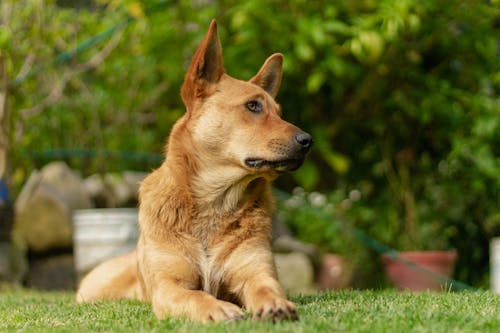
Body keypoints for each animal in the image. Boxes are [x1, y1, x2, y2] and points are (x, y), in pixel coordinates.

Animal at [77, 18, 312, 322]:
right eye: (252, 106)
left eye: (279, 113)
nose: (307, 141)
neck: (215, 203)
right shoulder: (169, 285)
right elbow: (194, 295)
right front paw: (216, 307)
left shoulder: (256, 271)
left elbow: (265, 287)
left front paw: (275, 303)